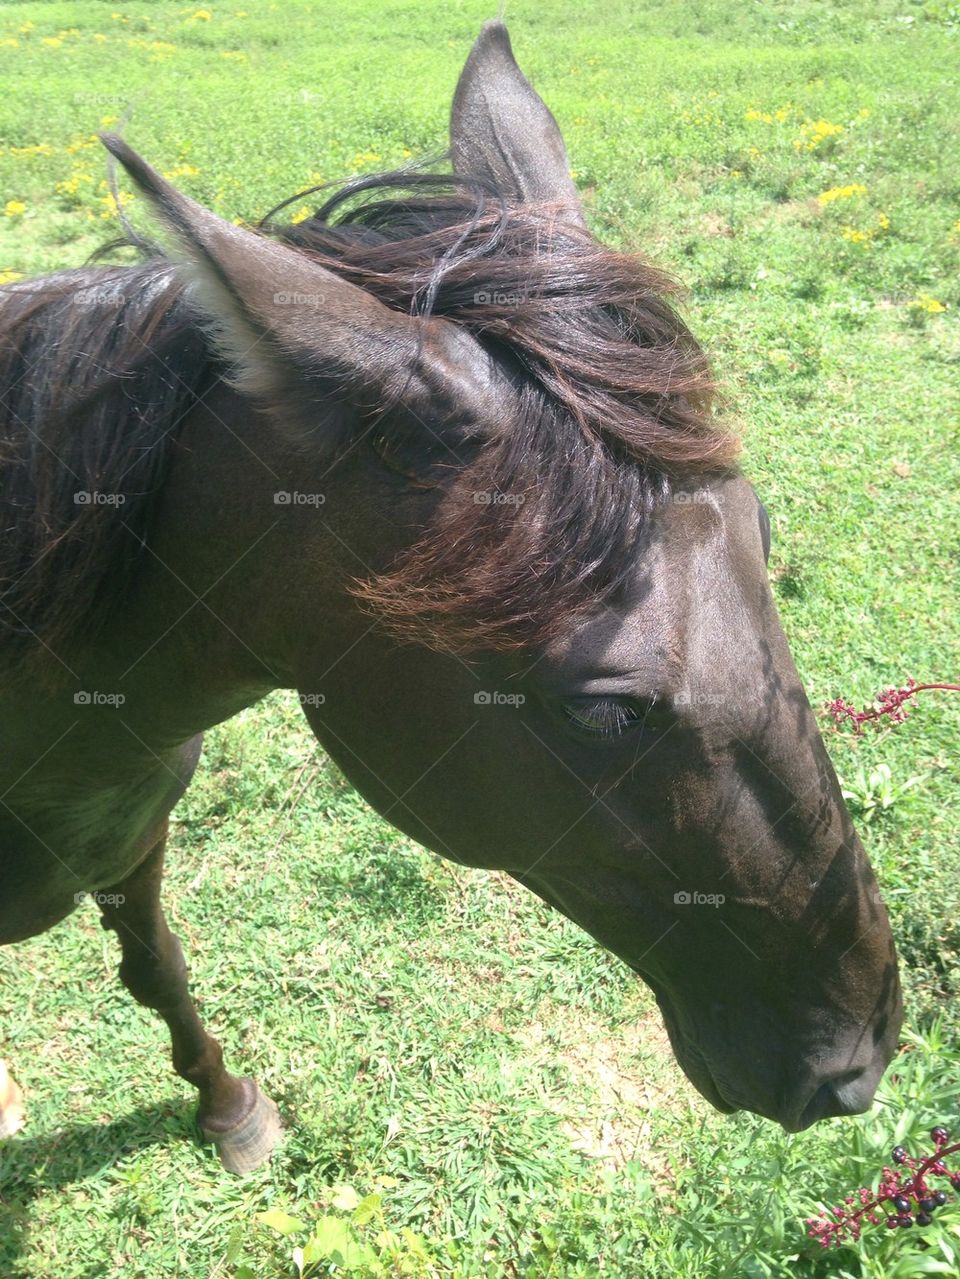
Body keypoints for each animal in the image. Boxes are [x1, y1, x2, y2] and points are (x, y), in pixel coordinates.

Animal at [0, 21, 901, 1172]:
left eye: (766, 533)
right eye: (602, 710)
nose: (861, 1053)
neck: (68, 739)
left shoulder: (133, 843)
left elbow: (157, 967)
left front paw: (229, 1106)